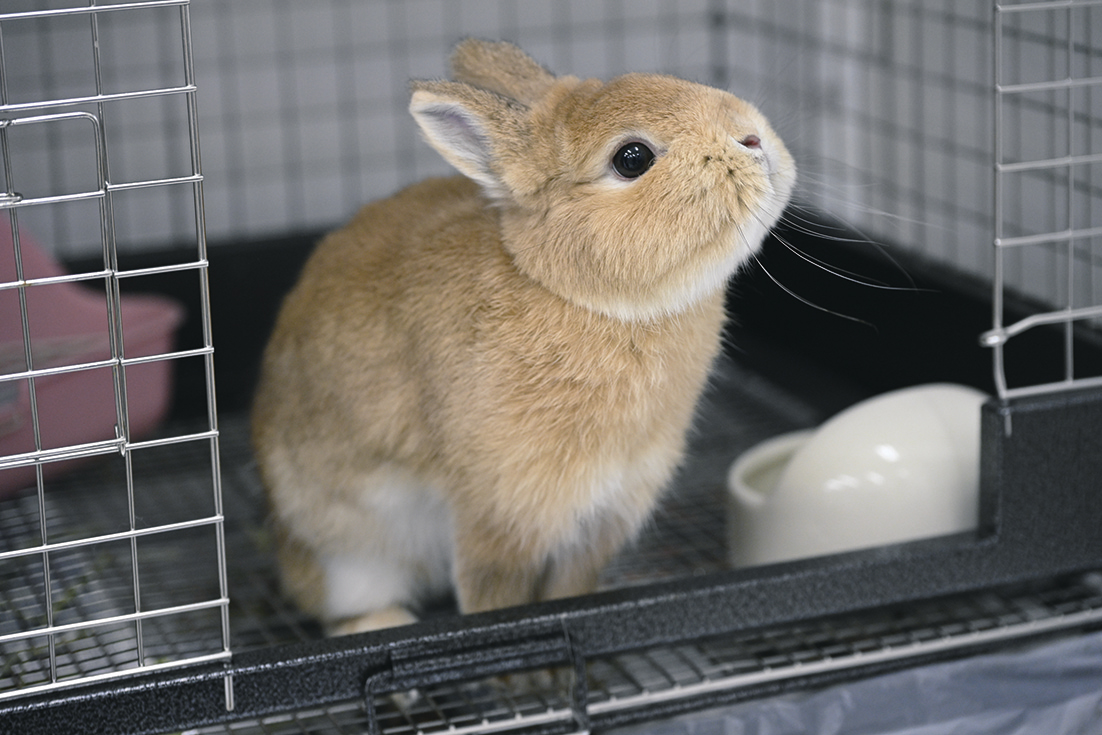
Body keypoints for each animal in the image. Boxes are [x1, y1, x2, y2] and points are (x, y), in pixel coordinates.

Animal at [253, 40, 797, 634]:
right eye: (632, 159)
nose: (753, 138)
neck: (584, 298)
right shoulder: (501, 514)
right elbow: (497, 599)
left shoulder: (603, 516)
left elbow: (570, 590)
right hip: (350, 555)